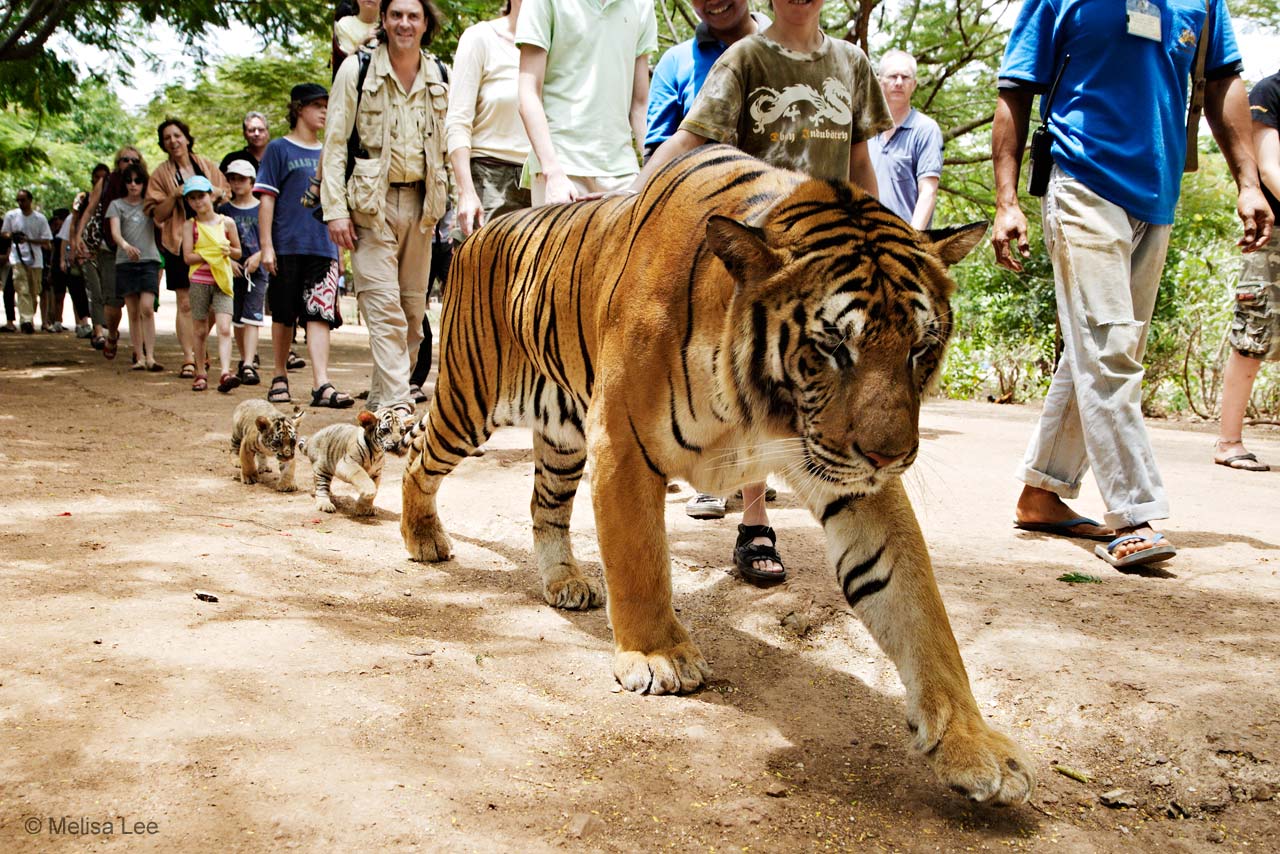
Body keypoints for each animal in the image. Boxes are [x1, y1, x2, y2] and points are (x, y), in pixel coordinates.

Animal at [399, 145, 1033, 804]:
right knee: (418, 455)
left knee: (544, 506)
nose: (891, 457)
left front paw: (971, 743)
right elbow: (640, 561)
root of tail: (480, 231)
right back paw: (423, 537)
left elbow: (918, 606)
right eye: (833, 347)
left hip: (561, 433)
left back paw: (565, 582)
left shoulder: (849, 480)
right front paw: (658, 656)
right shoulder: (622, 443)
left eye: (920, 348)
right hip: (471, 400)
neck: (759, 405)